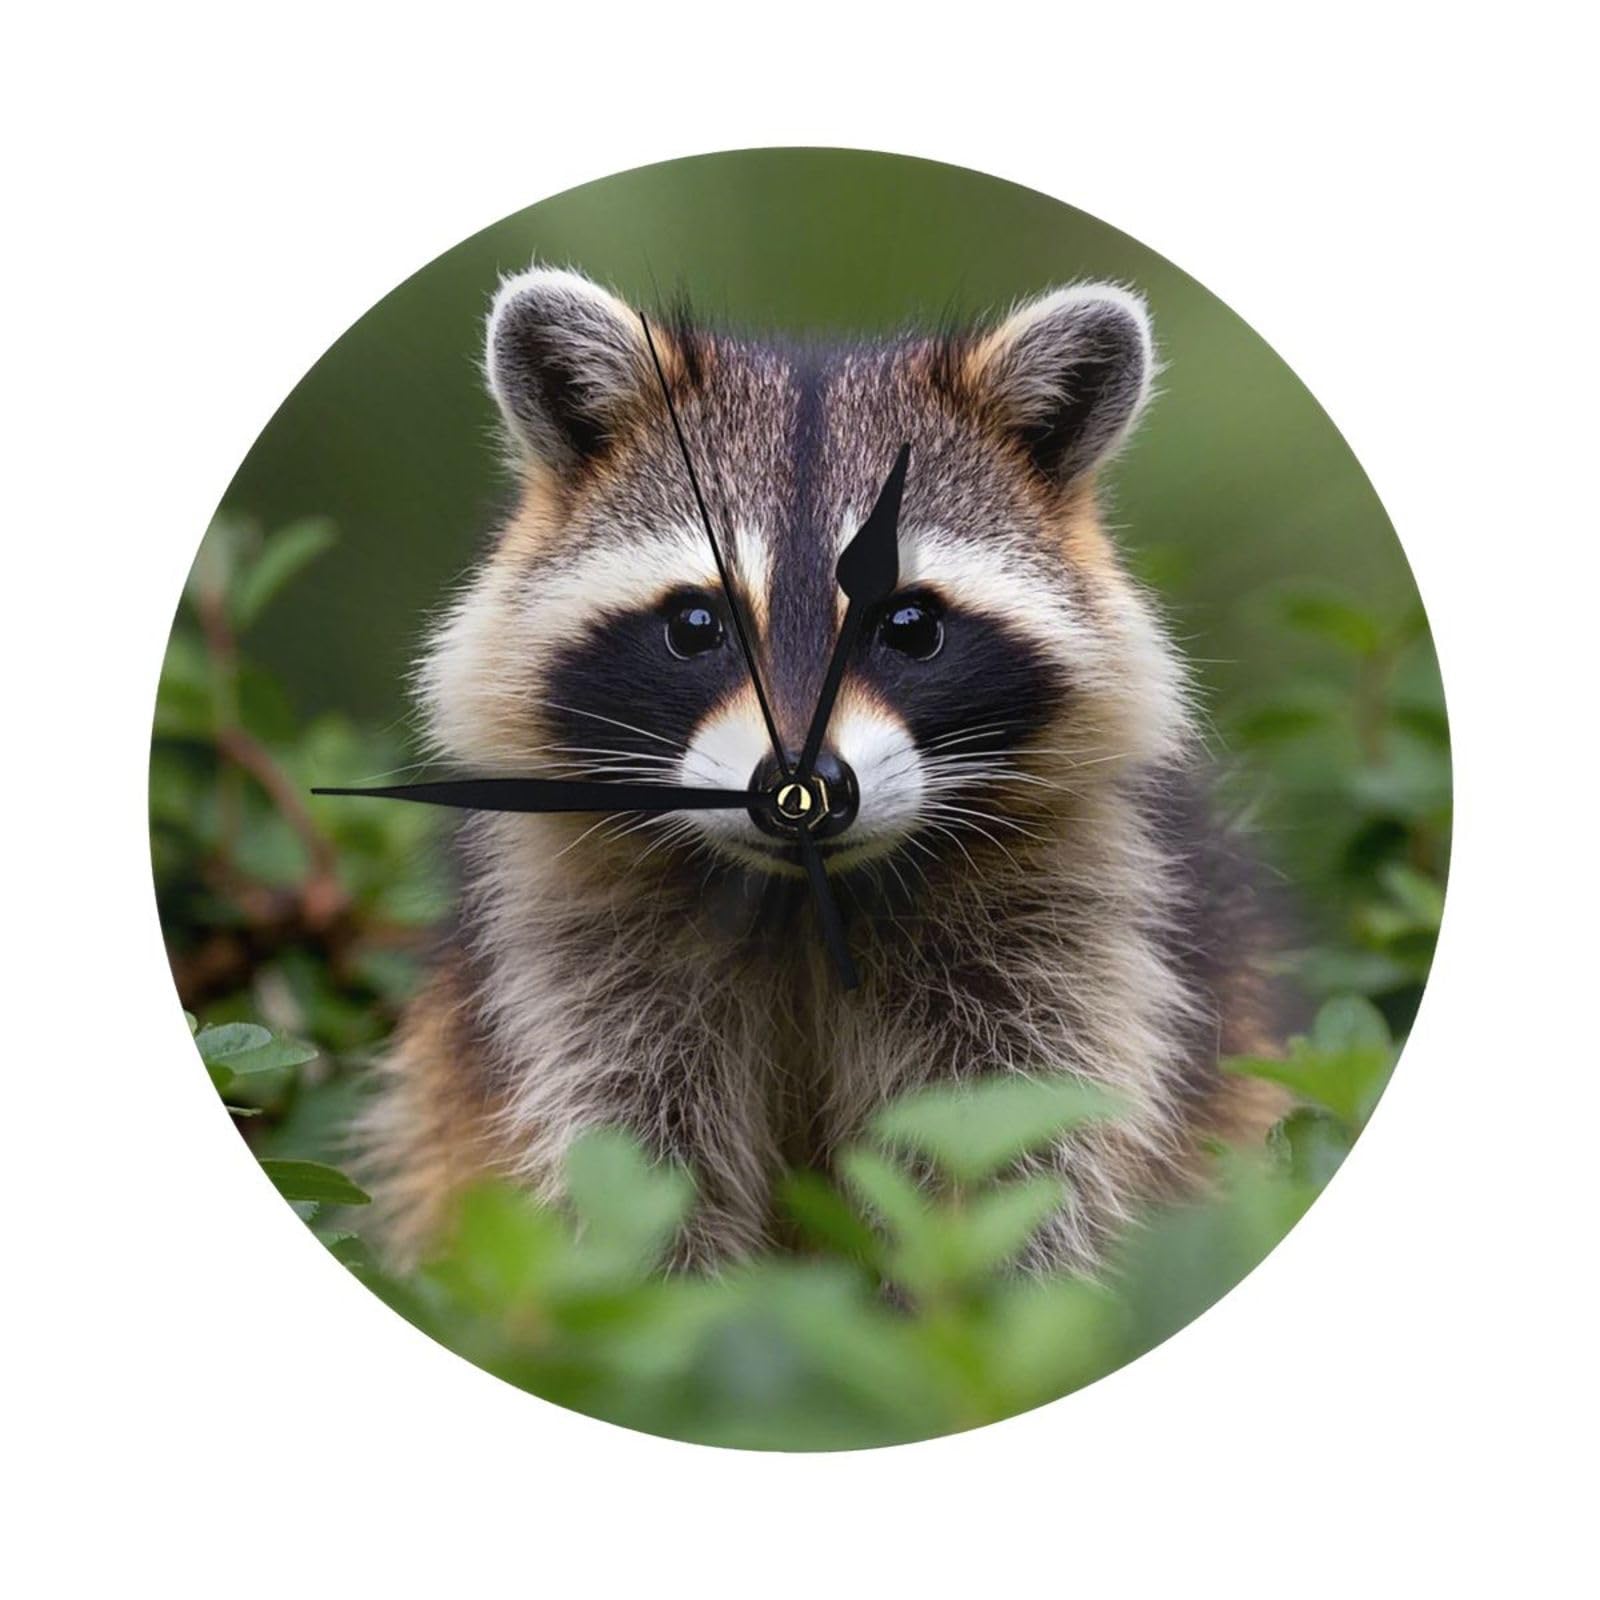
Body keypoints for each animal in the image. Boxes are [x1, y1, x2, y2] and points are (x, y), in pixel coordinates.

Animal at [362, 266, 1289, 1273]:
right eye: (697, 624)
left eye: (909, 626)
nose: (802, 791)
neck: (803, 899)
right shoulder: (572, 949)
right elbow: (627, 1160)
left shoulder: (1071, 927)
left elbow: (1018, 1154)